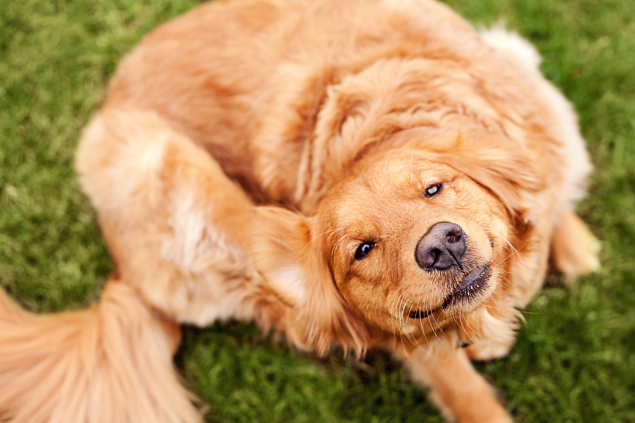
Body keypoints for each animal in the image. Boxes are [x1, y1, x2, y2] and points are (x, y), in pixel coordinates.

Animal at [0, 0, 600, 423]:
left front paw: (572, 240)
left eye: (434, 188)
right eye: (362, 250)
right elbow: (461, 387)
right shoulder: (407, 330)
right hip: (162, 165)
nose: (440, 245)